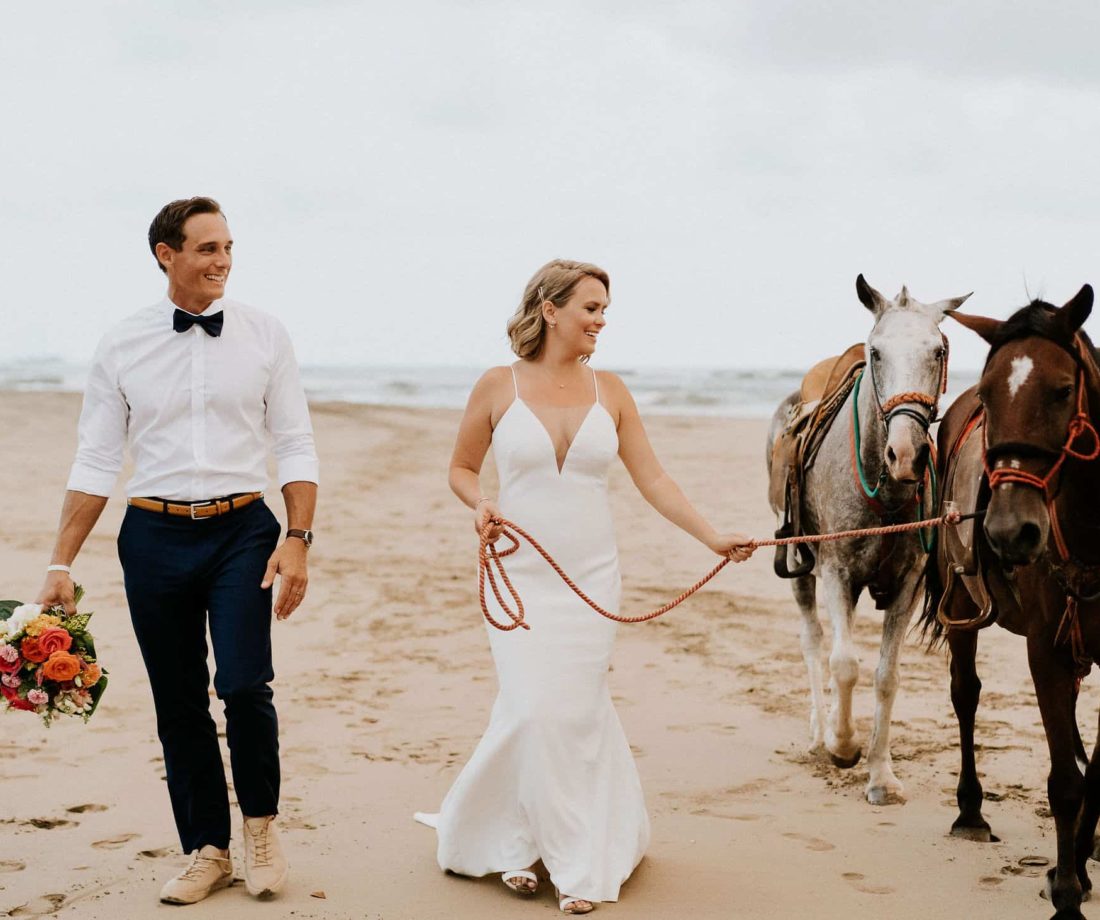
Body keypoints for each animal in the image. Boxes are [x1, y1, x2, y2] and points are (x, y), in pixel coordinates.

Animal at [766, 274, 970, 804]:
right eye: (876, 352)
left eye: (938, 350)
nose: (907, 454)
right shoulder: (836, 570)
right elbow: (844, 664)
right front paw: (843, 746)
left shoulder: (907, 584)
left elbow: (885, 676)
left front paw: (881, 774)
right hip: (798, 560)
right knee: (813, 640)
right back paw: (821, 731)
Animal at [921, 285, 1100, 919]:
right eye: (990, 394)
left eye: (1063, 390)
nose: (1008, 532)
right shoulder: (1045, 651)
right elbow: (1064, 783)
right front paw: (1066, 892)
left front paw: (1078, 864)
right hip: (962, 608)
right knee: (966, 695)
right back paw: (970, 810)